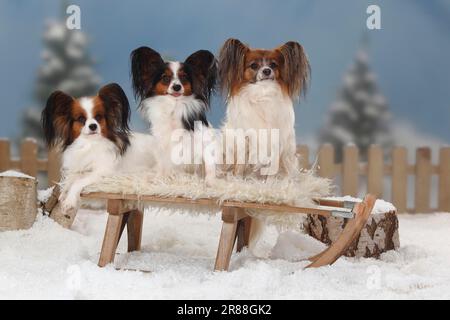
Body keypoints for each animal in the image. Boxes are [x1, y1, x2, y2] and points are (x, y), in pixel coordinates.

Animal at [129, 47, 217, 178]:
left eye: (184, 78)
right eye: (165, 78)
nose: (177, 87)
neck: (174, 106)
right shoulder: (162, 142)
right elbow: (163, 163)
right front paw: (161, 177)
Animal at [218, 39, 310, 179]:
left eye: (273, 65)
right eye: (254, 66)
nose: (267, 70)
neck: (262, 93)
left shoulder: (276, 139)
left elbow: (272, 167)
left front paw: (270, 182)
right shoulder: (243, 138)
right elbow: (240, 164)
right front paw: (237, 179)